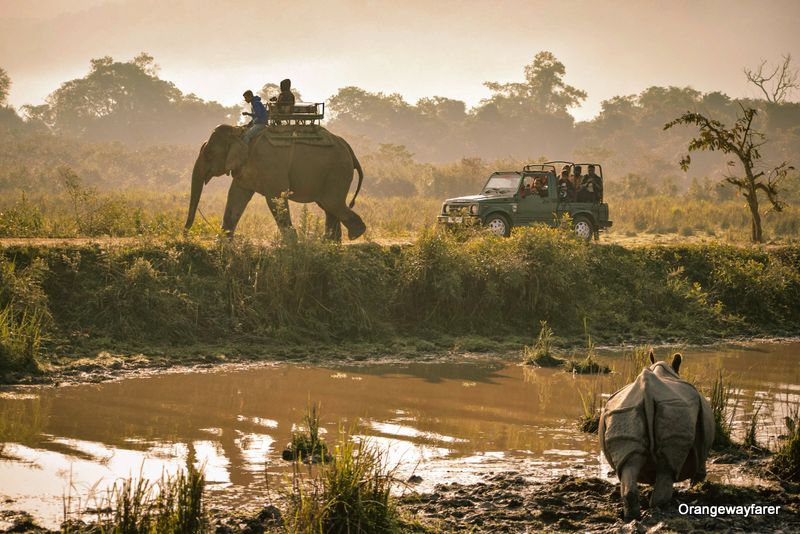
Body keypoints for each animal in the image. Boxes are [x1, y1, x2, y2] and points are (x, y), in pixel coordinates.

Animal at [184, 123, 366, 241]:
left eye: (209, 154)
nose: (185, 236)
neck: (240, 132)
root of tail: (349, 148)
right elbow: (236, 195)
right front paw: (222, 241)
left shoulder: (270, 164)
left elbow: (275, 197)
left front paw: (291, 243)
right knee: (329, 206)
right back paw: (330, 243)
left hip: (337, 171)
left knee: (331, 203)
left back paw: (354, 234)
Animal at [596, 354, 716, 520]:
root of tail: (646, 392)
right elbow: (699, 469)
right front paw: (696, 487)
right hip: (674, 409)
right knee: (667, 468)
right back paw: (662, 509)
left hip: (623, 411)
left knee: (629, 464)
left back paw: (633, 517)